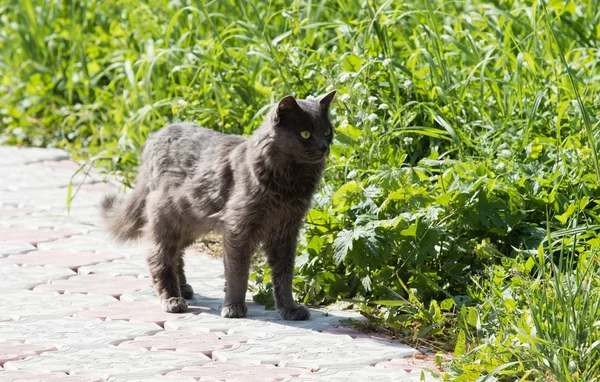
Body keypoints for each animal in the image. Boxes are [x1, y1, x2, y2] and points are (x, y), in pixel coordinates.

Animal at [103, 91, 338, 320]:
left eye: (327, 131)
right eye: (305, 134)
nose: (323, 147)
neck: (289, 182)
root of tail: (155, 136)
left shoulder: (286, 230)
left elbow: (284, 274)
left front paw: (289, 308)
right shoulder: (238, 227)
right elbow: (237, 272)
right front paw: (233, 307)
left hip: (189, 222)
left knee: (176, 253)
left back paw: (183, 288)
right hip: (166, 215)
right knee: (158, 256)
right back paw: (173, 299)